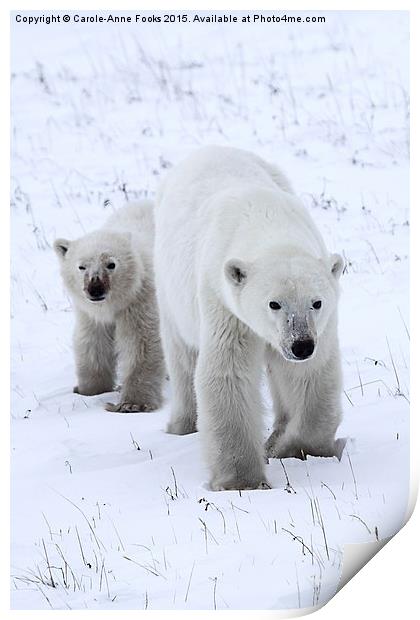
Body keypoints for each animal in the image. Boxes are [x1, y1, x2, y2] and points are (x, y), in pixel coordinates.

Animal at [53, 200, 164, 412]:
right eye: (82, 266)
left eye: (111, 264)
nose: (95, 290)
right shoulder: (90, 313)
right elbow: (93, 342)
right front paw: (88, 390)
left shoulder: (140, 301)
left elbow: (140, 342)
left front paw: (132, 404)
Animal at [154, 145, 344, 490]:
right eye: (274, 304)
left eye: (317, 302)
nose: (301, 346)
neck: (265, 220)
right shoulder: (224, 302)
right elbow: (229, 373)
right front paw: (243, 481)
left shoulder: (322, 325)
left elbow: (311, 375)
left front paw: (288, 446)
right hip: (168, 284)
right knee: (181, 352)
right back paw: (182, 424)